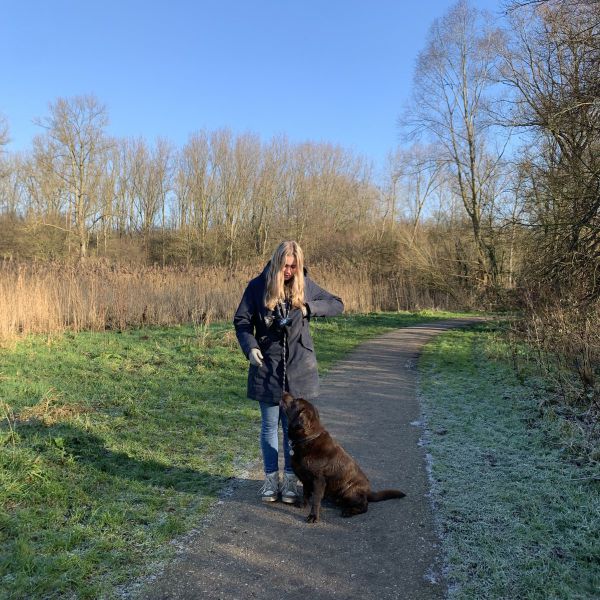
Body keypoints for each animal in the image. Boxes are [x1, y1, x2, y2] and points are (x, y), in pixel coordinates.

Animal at [278, 392, 406, 524]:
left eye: (295, 402)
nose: (284, 392)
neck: (308, 439)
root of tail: (368, 492)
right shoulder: (306, 479)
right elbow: (305, 493)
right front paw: (303, 504)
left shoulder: (318, 480)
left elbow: (316, 500)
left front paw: (313, 516)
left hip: (349, 492)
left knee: (364, 506)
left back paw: (349, 511)